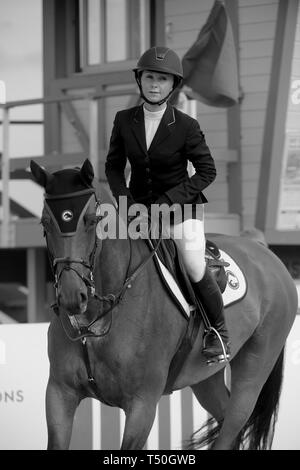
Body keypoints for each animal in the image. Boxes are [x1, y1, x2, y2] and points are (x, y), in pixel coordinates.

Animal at [30, 160, 298, 450]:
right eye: (45, 223)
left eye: (91, 221)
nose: (71, 296)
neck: (98, 317)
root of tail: (264, 253)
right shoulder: (59, 395)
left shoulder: (142, 404)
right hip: (205, 379)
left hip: (253, 372)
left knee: (235, 421)